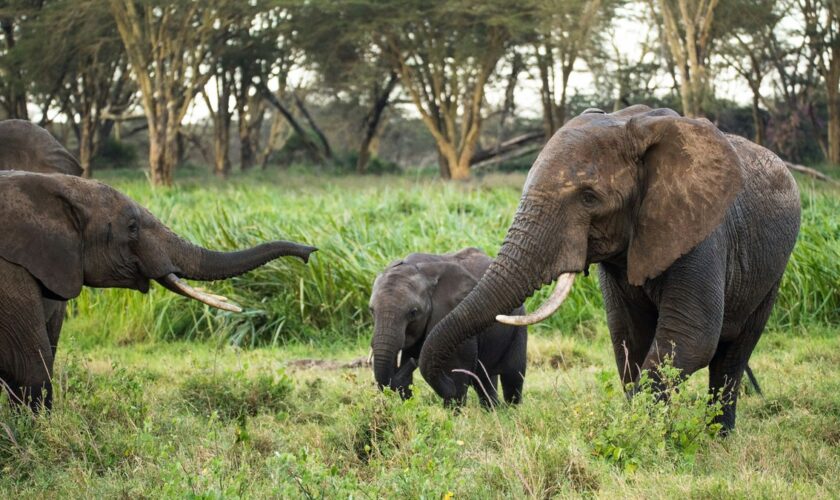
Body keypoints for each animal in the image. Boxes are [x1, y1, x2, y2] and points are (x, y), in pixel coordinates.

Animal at [370, 247, 528, 406]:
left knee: (512, 376)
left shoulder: (450, 311)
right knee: (485, 379)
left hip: (517, 324)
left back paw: (511, 409)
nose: (414, 361)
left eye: (413, 312)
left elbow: (457, 370)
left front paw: (453, 410)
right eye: (371, 310)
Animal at [420, 103, 800, 432]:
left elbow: (690, 336)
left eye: (589, 198)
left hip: (772, 272)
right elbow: (628, 338)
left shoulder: (703, 231)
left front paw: (640, 434)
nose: (453, 397)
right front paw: (644, 428)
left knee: (732, 354)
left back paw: (719, 437)